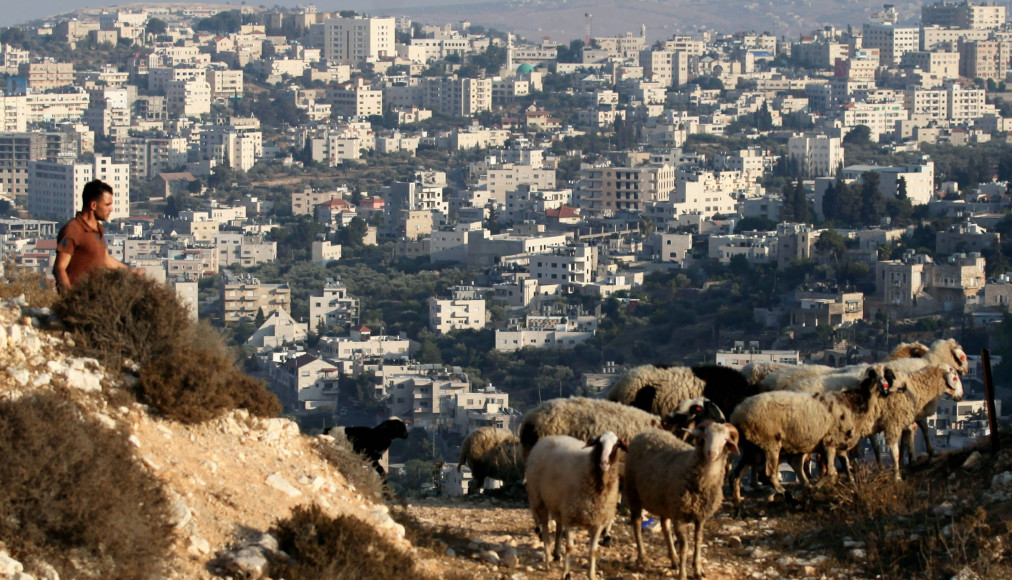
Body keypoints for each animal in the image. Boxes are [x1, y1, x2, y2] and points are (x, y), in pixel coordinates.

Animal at [522, 429, 623, 578]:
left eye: (616, 445)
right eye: (599, 443)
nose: (604, 463)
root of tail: (547, 438)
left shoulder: (598, 521)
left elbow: (593, 551)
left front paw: (591, 575)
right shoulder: (570, 516)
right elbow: (569, 547)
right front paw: (566, 573)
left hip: (557, 503)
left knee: (558, 527)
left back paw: (556, 554)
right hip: (539, 499)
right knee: (545, 531)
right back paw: (547, 561)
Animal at [619, 421, 740, 578]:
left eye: (725, 440)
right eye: (705, 436)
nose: (711, 453)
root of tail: (645, 433)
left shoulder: (700, 517)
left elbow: (698, 541)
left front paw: (698, 570)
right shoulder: (680, 517)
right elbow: (684, 547)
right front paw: (683, 574)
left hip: (664, 503)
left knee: (665, 527)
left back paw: (674, 559)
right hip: (633, 493)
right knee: (637, 524)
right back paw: (643, 557)